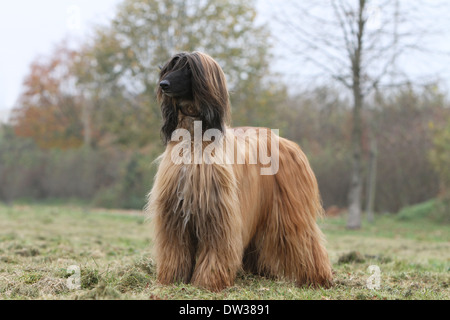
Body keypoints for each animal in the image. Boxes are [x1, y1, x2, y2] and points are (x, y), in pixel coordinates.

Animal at [146, 51, 332, 292]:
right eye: (169, 67)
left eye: (188, 68)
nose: (163, 84)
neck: (195, 140)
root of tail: (288, 143)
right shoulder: (174, 211)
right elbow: (175, 247)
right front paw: (171, 280)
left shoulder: (218, 209)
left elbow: (217, 246)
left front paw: (208, 282)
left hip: (291, 208)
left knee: (305, 240)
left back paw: (318, 278)